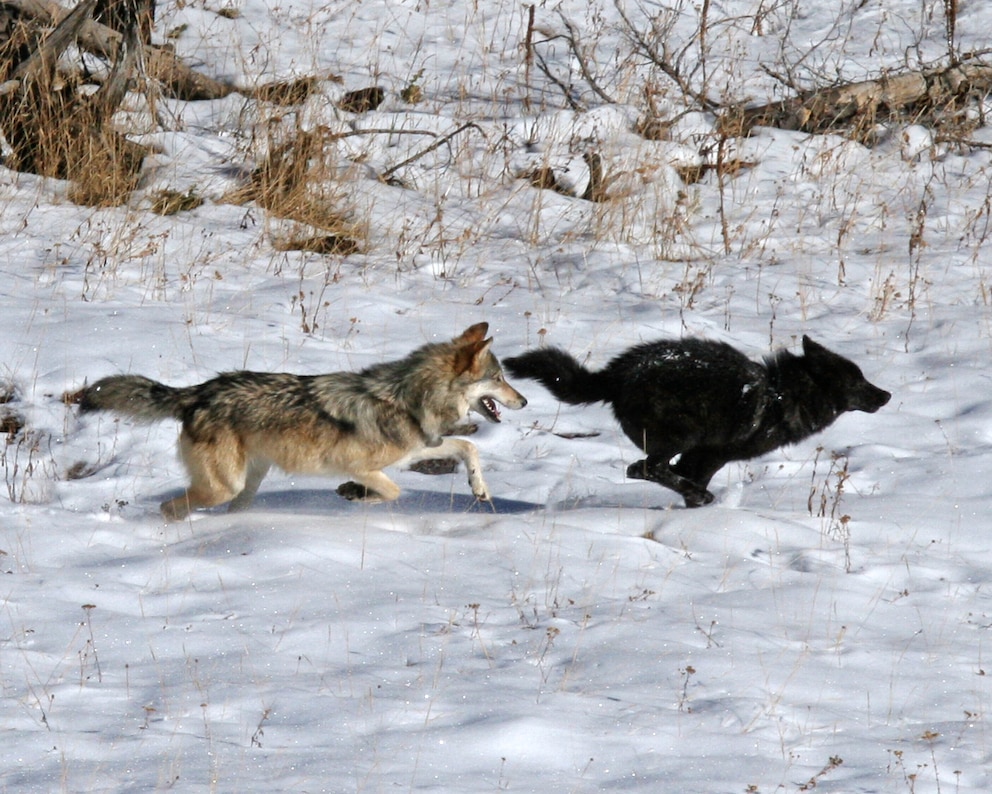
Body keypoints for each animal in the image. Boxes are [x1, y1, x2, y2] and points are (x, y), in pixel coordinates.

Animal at [79, 322, 528, 520]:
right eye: (499, 377)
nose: (523, 400)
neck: (409, 398)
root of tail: (199, 391)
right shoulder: (360, 464)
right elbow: (394, 492)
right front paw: (353, 495)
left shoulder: (418, 449)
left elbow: (468, 446)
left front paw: (480, 488)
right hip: (224, 487)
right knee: (169, 507)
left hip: (244, 487)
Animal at [504, 336, 892, 508]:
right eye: (859, 382)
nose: (887, 395)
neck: (783, 395)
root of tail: (617, 374)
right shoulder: (711, 455)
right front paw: (697, 502)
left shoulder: (698, 458)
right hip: (683, 436)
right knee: (643, 468)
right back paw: (699, 494)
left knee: (645, 469)